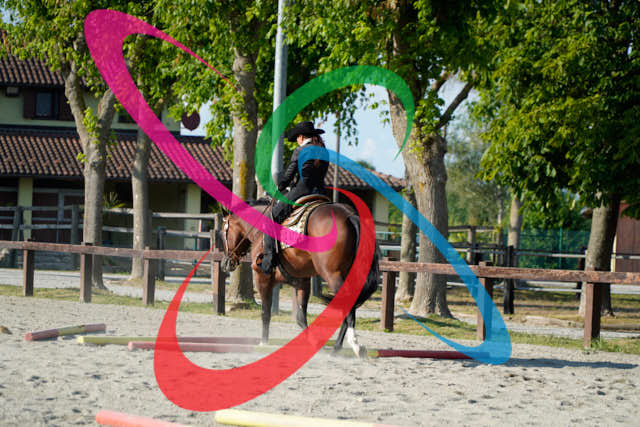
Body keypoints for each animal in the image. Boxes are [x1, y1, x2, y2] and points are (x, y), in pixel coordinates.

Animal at [220, 196, 379, 357]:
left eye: (223, 233)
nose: (226, 263)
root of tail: (349, 215)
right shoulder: (302, 282)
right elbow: (301, 318)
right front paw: (315, 345)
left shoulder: (262, 278)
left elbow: (266, 312)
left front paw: (263, 342)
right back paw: (336, 347)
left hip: (332, 275)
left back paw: (355, 344)